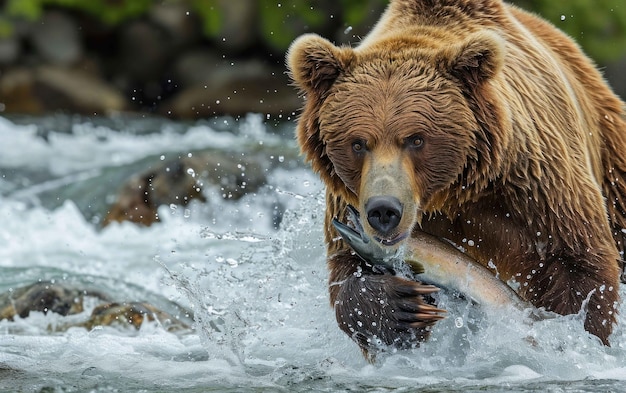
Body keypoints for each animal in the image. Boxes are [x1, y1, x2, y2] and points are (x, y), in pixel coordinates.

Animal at [286, 0, 624, 356]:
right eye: (358, 143)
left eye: (416, 139)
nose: (383, 210)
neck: (452, 192)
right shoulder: (346, 196)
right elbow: (347, 273)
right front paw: (400, 309)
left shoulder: (535, 185)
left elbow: (577, 263)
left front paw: (572, 334)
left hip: (609, 152)